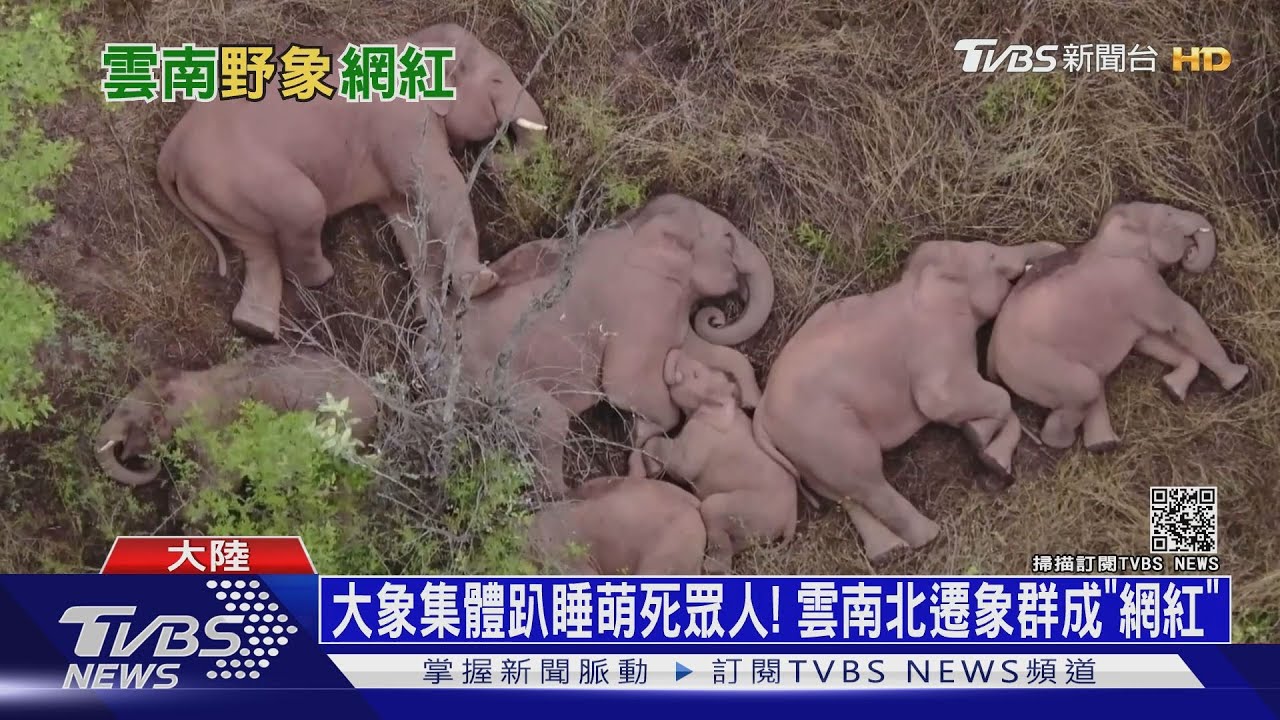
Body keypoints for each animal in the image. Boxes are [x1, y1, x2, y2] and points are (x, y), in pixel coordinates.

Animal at [156, 23, 549, 341]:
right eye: (496, 81)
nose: (494, 157)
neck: (412, 41)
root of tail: (170, 151)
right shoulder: (404, 123)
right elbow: (440, 188)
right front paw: (482, 283)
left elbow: (406, 215)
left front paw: (427, 317)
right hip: (240, 174)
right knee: (305, 208)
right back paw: (320, 277)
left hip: (218, 193)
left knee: (257, 248)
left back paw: (256, 330)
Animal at [436, 193, 774, 498]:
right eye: (728, 241)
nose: (716, 317)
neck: (638, 226)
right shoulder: (640, 301)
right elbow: (624, 384)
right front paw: (641, 443)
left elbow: (691, 348)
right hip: (486, 380)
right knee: (550, 422)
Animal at [636, 348, 798, 574]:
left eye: (695, 375)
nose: (675, 350)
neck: (724, 403)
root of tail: (791, 519)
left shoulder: (701, 433)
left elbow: (683, 467)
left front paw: (651, 468)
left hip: (749, 508)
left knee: (713, 511)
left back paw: (710, 567)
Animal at [751, 238, 1066, 564]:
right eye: (991, 255)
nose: (1057, 250)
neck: (918, 281)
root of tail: (761, 415)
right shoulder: (936, 344)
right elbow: (945, 401)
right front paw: (980, 439)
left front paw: (985, 449)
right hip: (823, 431)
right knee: (866, 477)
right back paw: (928, 536)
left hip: (803, 450)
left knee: (843, 492)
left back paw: (888, 552)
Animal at [987, 201, 1249, 451]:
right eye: (1168, 215)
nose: (1190, 252)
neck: (1106, 237)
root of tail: (992, 358)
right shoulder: (1138, 280)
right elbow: (1182, 319)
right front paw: (1239, 378)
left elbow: (1148, 341)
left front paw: (1172, 389)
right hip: (1036, 367)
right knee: (1087, 387)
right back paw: (1065, 442)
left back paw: (1103, 445)